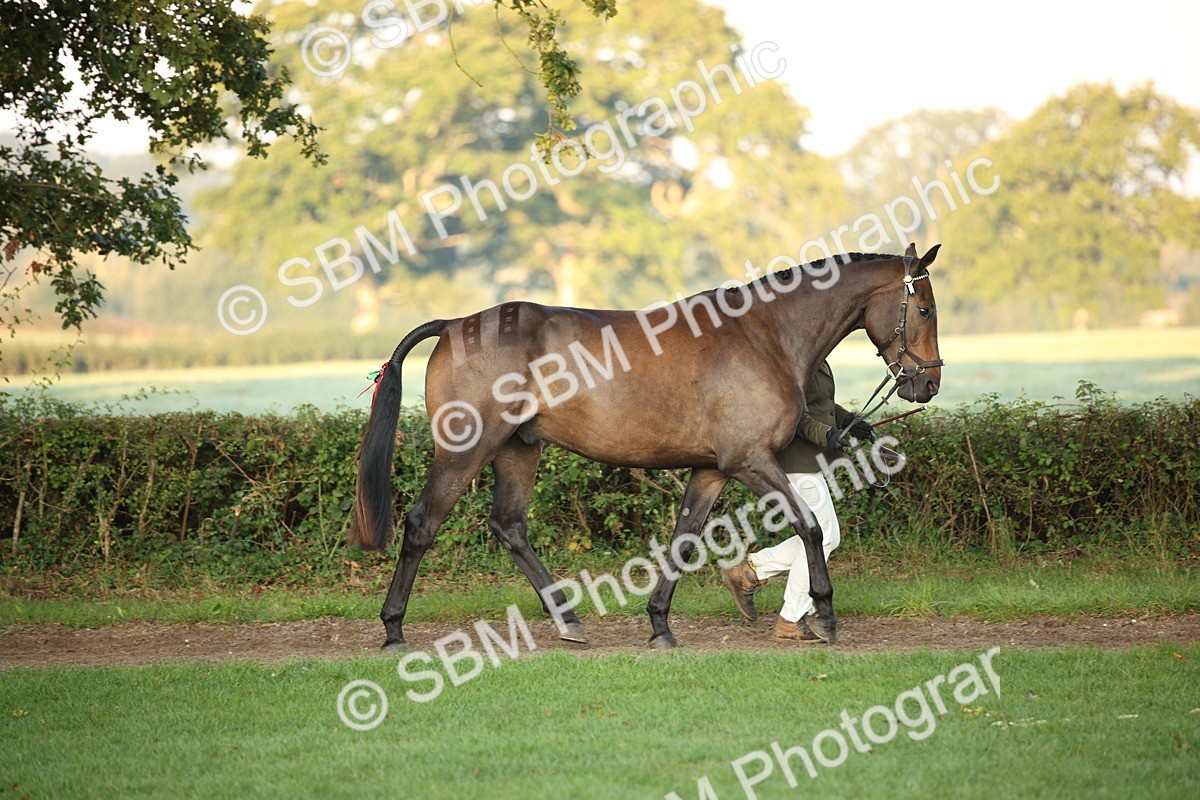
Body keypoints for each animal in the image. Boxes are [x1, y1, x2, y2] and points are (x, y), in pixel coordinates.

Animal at [350, 243, 943, 651]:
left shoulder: (713, 470)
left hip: (519, 449)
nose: (930, 383)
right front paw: (824, 615)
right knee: (422, 523)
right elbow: (811, 526)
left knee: (510, 526)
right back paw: (394, 629)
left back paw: (570, 622)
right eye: (925, 310)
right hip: (466, 451)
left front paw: (659, 623)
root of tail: (455, 324)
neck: (765, 335)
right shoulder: (751, 461)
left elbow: (684, 538)